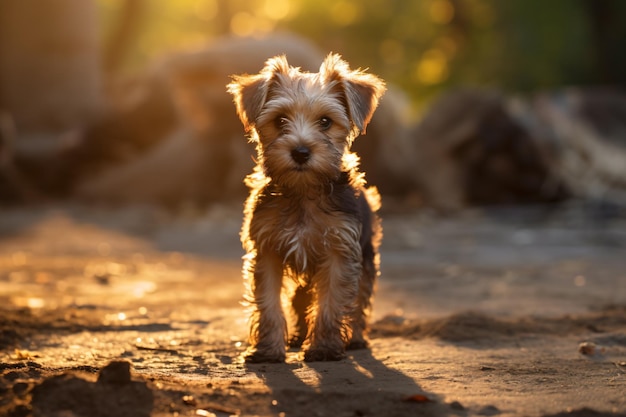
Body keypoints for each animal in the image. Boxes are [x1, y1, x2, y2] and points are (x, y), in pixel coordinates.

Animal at [227, 54, 382, 360]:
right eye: (280, 120)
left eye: (325, 122)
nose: (300, 152)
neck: (303, 191)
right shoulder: (267, 249)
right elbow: (269, 302)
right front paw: (267, 350)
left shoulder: (339, 250)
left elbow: (332, 301)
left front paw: (324, 347)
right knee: (300, 299)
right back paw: (299, 336)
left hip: (367, 254)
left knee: (360, 298)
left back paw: (356, 338)